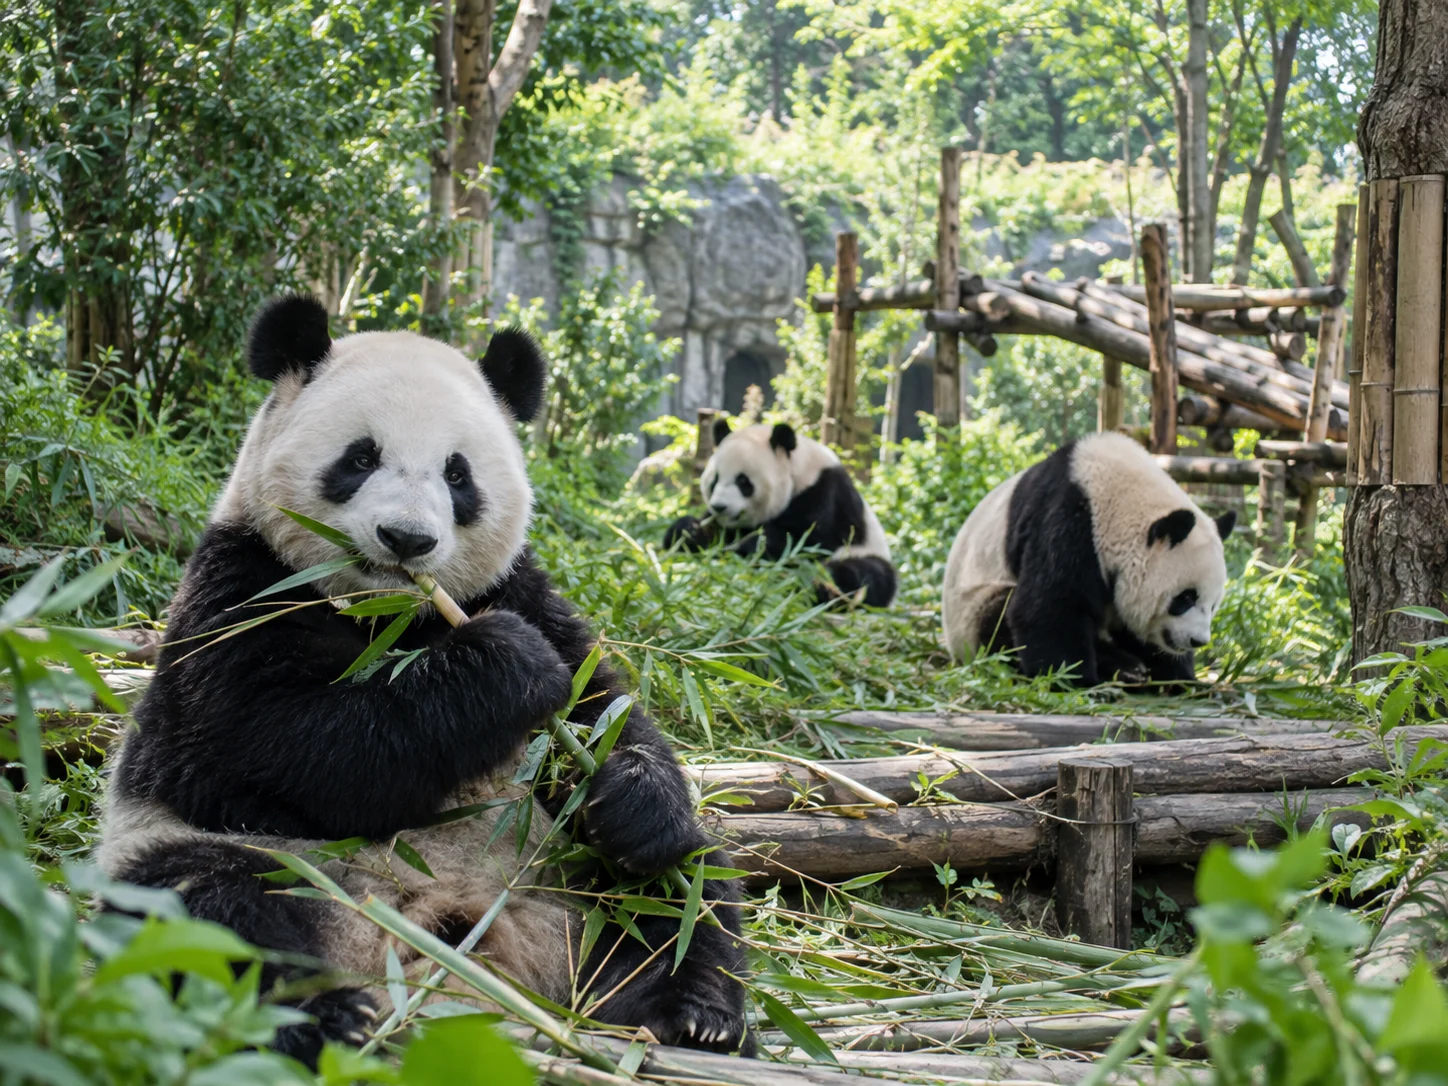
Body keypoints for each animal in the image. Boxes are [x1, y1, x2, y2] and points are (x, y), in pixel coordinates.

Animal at [96, 295, 749, 1065]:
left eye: (457, 474)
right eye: (360, 457)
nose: (406, 540)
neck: (393, 616)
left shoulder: (518, 589)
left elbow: (604, 710)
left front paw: (626, 794)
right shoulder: (239, 591)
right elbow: (275, 747)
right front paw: (506, 666)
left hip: (563, 873)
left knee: (681, 893)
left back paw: (693, 1012)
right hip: (240, 862)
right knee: (208, 909)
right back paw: (324, 1017)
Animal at [664, 419, 896, 607]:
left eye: (743, 481)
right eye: (715, 480)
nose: (719, 507)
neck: (800, 470)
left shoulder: (824, 494)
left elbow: (808, 540)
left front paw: (754, 545)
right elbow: (707, 534)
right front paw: (687, 531)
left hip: (864, 552)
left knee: (865, 575)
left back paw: (814, 585)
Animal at [941, 431, 1235, 687]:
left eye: (1214, 604)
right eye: (1184, 598)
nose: (1198, 640)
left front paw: (1183, 680)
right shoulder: (1069, 521)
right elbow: (1049, 606)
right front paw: (1074, 680)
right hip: (969, 615)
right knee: (997, 616)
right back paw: (1123, 667)